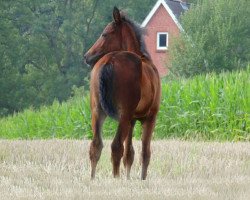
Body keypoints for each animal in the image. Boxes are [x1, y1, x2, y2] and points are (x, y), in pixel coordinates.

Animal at [84, 6, 161, 180]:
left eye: (104, 34)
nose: (87, 56)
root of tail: (109, 60)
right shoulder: (149, 117)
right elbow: (144, 153)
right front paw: (141, 179)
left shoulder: (132, 120)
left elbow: (129, 154)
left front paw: (129, 178)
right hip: (123, 115)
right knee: (116, 146)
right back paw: (116, 178)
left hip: (97, 111)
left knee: (96, 146)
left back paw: (92, 179)